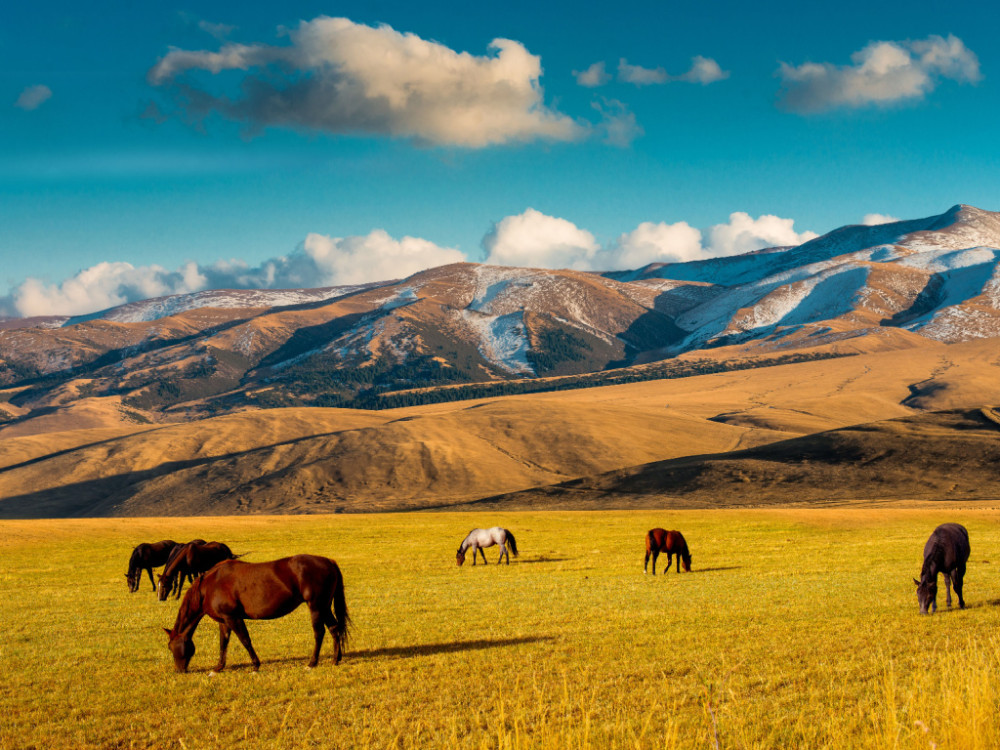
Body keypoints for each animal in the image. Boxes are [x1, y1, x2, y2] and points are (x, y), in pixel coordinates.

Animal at [162, 552, 350, 676]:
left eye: (173, 647)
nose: (179, 671)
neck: (211, 585)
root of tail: (328, 561)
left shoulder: (233, 618)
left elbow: (245, 640)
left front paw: (255, 666)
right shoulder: (224, 620)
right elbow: (223, 643)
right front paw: (218, 668)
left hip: (316, 606)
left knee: (319, 633)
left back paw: (312, 663)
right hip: (324, 607)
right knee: (334, 628)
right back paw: (336, 659)